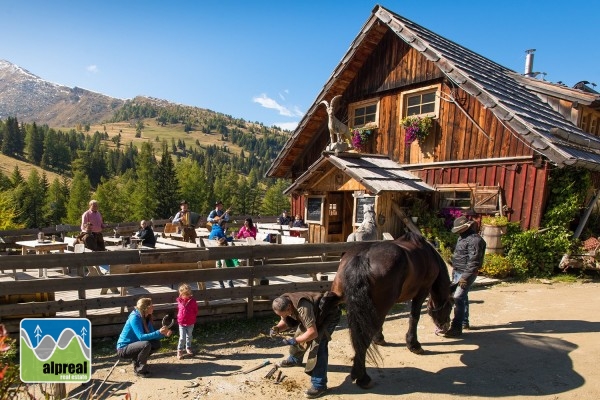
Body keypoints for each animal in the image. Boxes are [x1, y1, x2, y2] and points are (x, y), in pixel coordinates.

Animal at [330, 231, 452, 388]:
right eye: (450, 306)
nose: (445, 326)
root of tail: (361, 257)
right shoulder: (421, 293)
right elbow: (414, 317)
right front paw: (414, 345)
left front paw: (379, 339)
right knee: (363, 340)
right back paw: (363, 377)